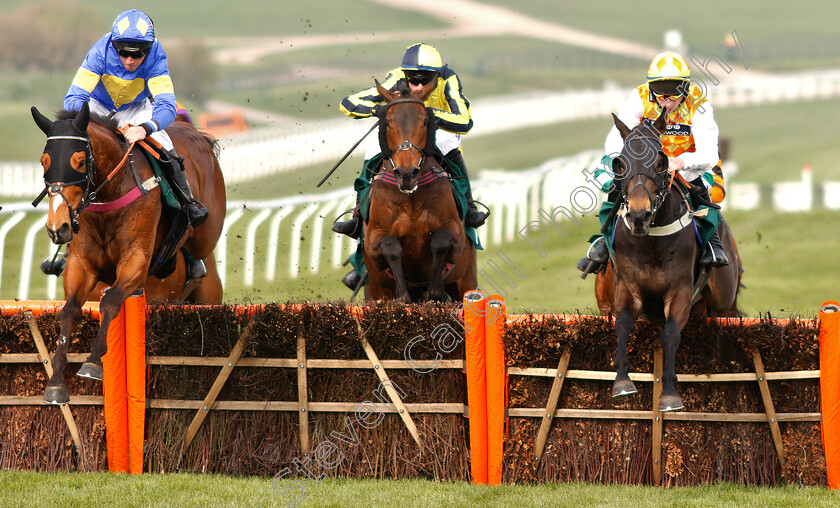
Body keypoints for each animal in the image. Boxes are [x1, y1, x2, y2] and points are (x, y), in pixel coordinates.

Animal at [33, 102, 226, 404]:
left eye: (80, 162)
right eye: (44, 162)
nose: (58, 227)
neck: (108, 197)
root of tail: (196, 134)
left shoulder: (135, 262)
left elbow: (111, 301)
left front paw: (92, 363)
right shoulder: (81, 267)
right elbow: (69, 312)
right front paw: (56, 382)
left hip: (206, 257)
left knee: (199, 245)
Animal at [362, 80, 476, 302]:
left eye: (424, 121)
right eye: (387, 122)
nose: (407, 173)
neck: (411, 197)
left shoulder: (456, 234)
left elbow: (441, 241)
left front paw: (438, 293)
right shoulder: (373, 240)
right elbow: (390, 247)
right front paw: (403, 296)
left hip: (467, 279)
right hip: (374, 289)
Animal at [600, 111, 740, 412]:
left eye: (661, 162)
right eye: (620, 164)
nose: (638, 216)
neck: (652, 241)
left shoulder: (680, 291)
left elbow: (671, 333)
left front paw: (669, 393)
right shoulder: (627, 287)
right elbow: (623, 324)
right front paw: (622, 382)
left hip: (724, 296)